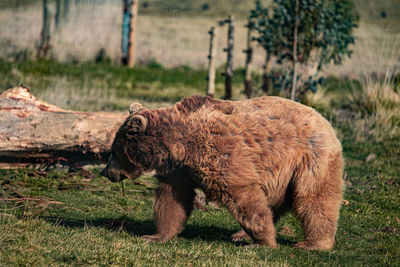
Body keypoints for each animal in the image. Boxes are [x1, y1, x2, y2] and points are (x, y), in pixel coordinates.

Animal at [101, 96, 344, 251]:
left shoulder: (219, 152)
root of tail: (324, 120)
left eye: (112, 150)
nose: (106, 171)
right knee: (273, 202)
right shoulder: (178, 171)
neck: (179, 145)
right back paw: (240, 235)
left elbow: (240, 193)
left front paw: (263, 243)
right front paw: (154, 236)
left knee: (314, 199)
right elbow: (171, 201)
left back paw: (312, 244)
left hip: (310, 157)